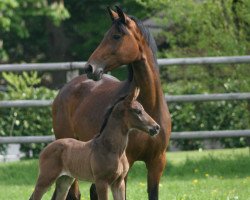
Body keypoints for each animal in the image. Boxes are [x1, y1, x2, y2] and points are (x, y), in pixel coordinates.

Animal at [29, 88, 159, 200]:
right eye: (138, 111)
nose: (156, 127)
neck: (112, 150)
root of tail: (44, 150)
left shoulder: (119, 183)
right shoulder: (101, 182)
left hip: (65, 180)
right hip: (45, 179)